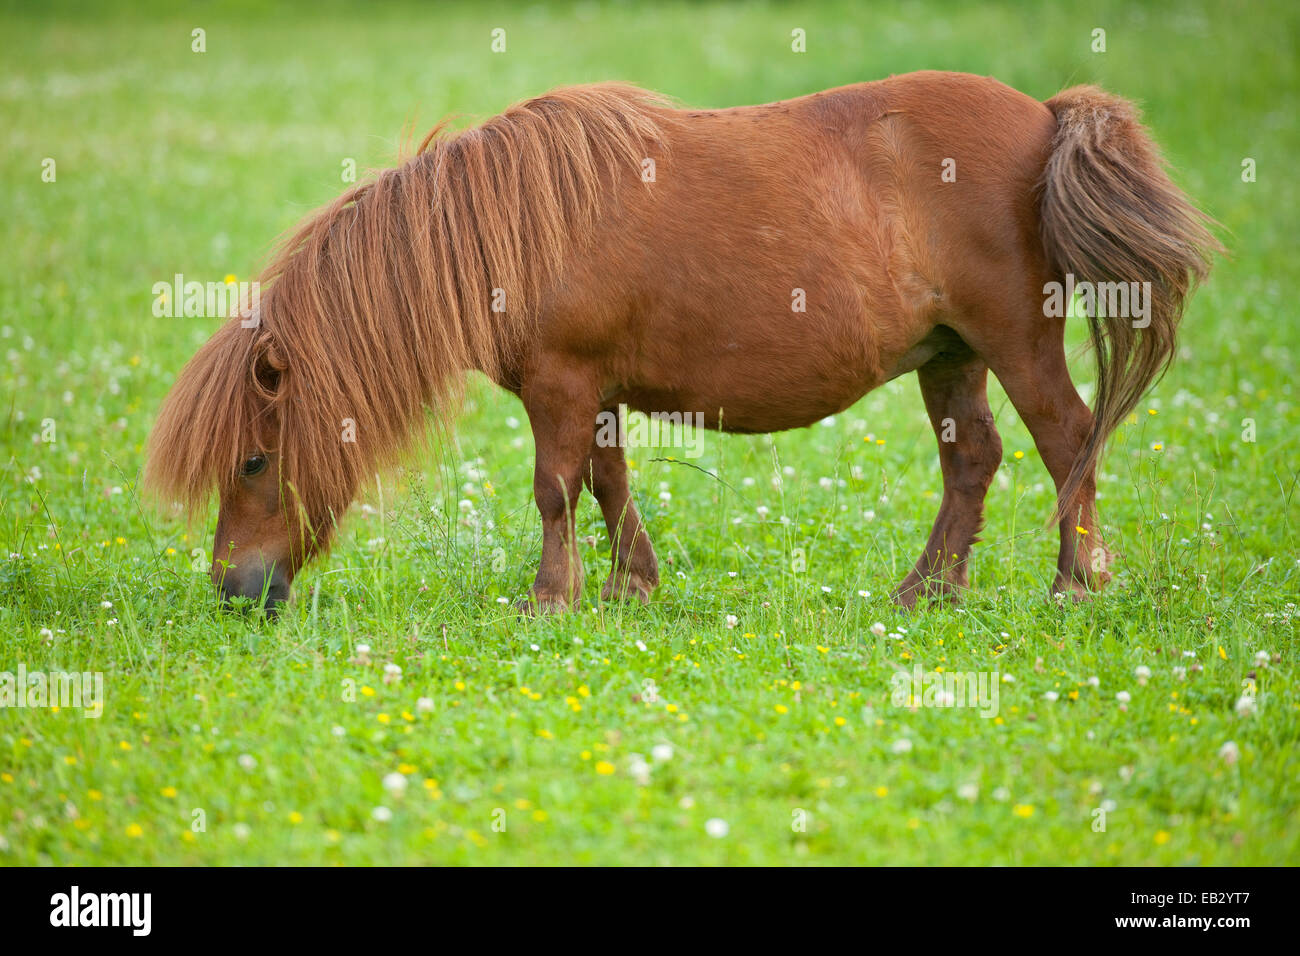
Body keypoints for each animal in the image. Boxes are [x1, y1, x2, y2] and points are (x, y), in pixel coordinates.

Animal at [144, 72, 1216, 613]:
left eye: (253, 460)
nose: (233, 590)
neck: (511, 226)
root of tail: (1045, 116)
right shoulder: (594, 392)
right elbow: (607, 483)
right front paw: (631, 583)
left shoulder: (562, 386)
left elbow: (554, 490)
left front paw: (553, 599)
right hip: (952, 356)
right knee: (977, 462)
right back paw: (927, 592)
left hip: (1016, 344)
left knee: (1068, 443)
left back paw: (1074, 584)